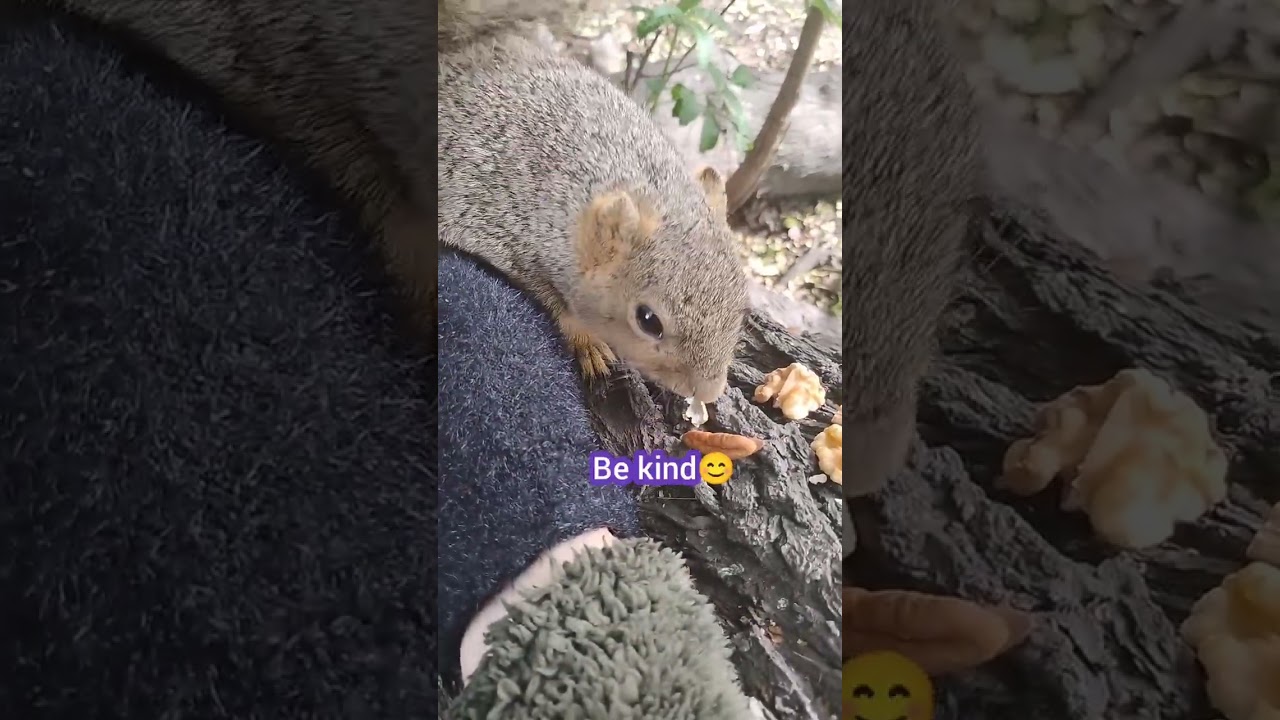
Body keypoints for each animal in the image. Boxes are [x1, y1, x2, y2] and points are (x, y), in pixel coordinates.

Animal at [438, 34, 749, 403]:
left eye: (741, 301)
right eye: (648, 321)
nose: (709, 392)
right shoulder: (510, 235)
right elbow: (554, 303)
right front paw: (588, 345)